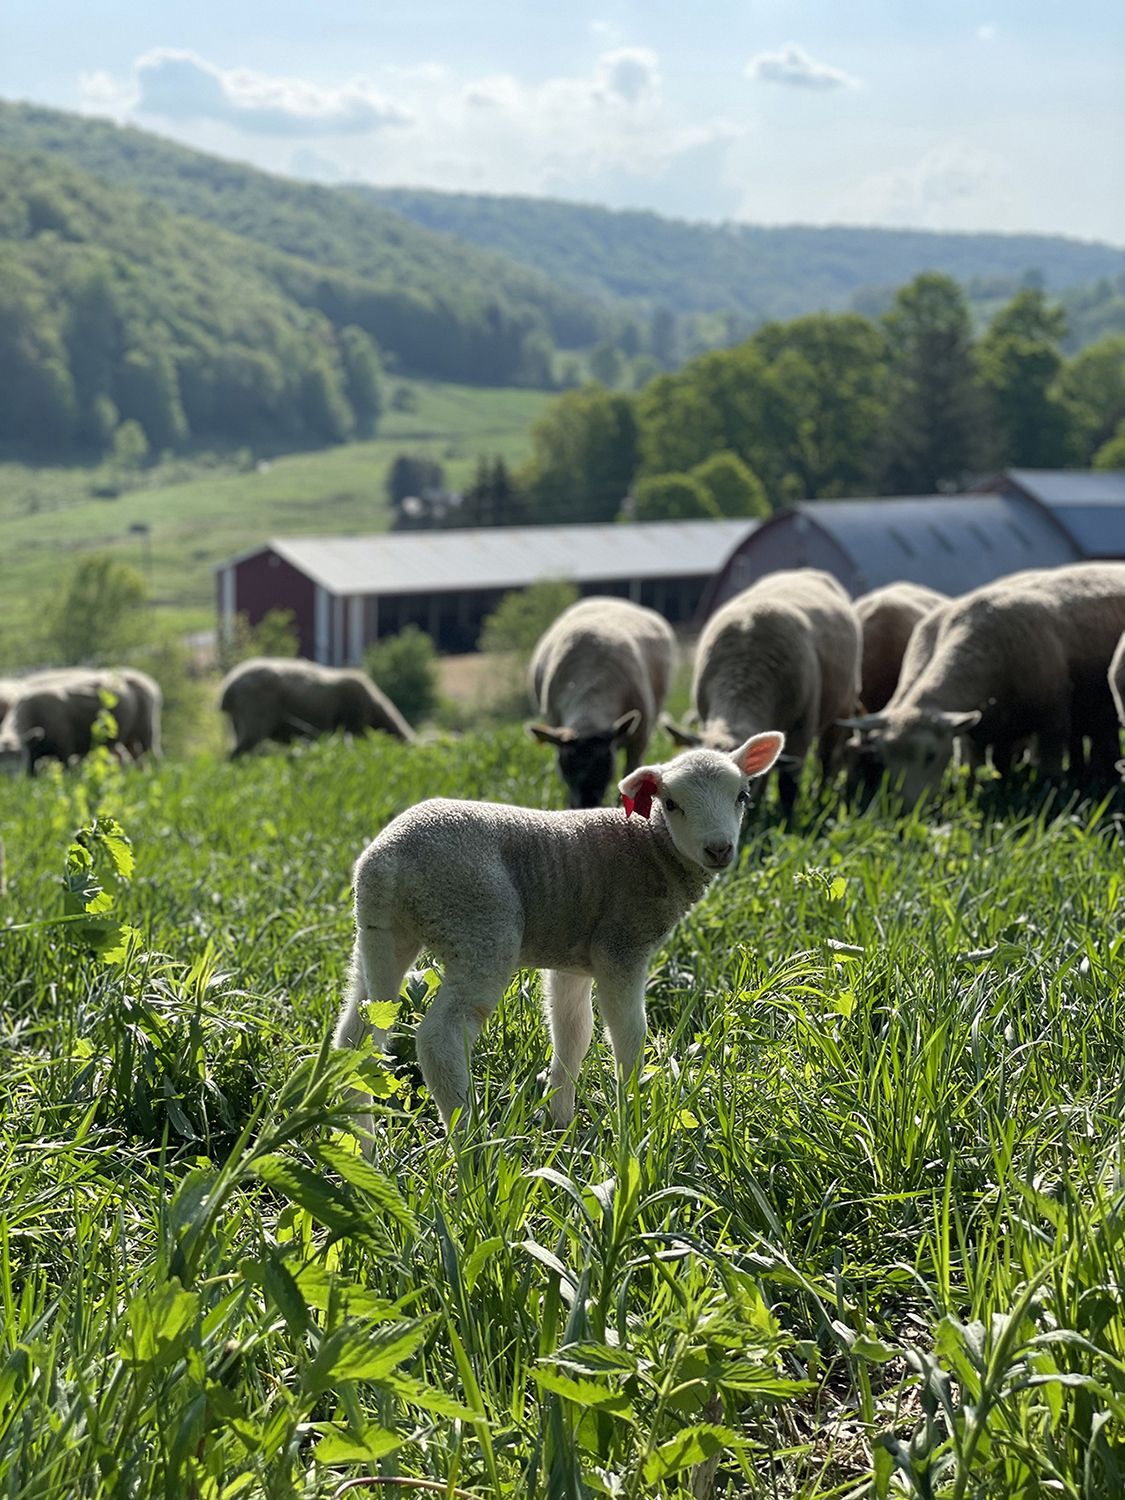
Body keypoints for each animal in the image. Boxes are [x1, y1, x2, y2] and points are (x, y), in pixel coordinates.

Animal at [0, 668, 162, 775]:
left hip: (147, 730)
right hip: (130, 738)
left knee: (153, 756)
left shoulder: (65, 748)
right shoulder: (33, 758)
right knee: (136, 759)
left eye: (20, 755)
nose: (9, 777)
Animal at [332, 731, 785, 1141]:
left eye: (743, 796)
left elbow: (572, 1035)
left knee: (357, 1034)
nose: (719, 850)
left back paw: (361, 1147)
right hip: (479, 923)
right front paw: (633, 1121)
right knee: (439, 1039)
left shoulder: (573, 958)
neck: (650, 847)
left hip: (381, 933)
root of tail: (386, 859)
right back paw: (469, 1144)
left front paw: (561, 1126)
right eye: (671, 804)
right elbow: (629, 1037)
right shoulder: (621, 946)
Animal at [528, 597, 676, 808]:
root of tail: (607, 599)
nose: (587, 803)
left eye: (607, 762)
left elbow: (631, 774)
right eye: (566, 766)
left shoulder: (639, 741)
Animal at [665, 569, 861, 816]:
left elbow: (788, 784)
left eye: (745, 786)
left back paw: (821, 797)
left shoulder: (801, 729)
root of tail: (805, 571)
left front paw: (786, 817)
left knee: (827, 759)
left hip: (841, 709)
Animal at [841, 563, 1125, 809]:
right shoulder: (980, 731)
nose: (906, 809)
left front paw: (1051, 799)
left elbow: (1050, 773)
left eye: (931, 755)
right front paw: (972, 797)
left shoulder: (1052, 721)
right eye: (882, 757)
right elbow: (974, 772)